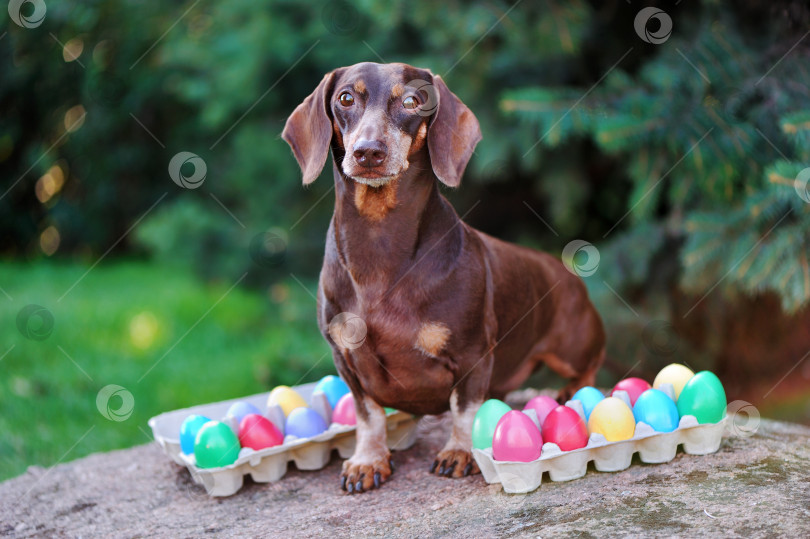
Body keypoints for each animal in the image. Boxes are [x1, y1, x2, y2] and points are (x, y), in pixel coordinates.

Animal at [280, 62, 604, 494]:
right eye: (346, 98)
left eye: (412, 101)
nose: (368, 152)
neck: (380, 242)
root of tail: (563, 271)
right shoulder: (346, 361)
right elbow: (369, 415)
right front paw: (368, 460)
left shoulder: (472, 355)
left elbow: (465, 411)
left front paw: (459, 452)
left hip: (574, 346)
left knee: (590, 365)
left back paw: (575, 389)